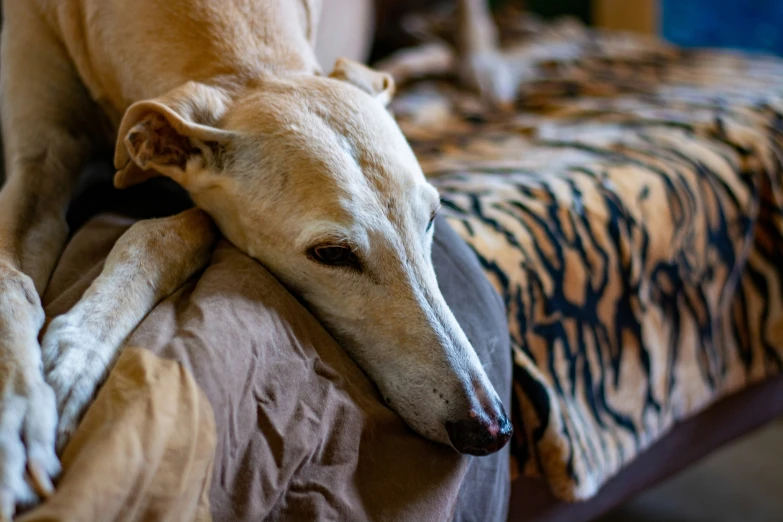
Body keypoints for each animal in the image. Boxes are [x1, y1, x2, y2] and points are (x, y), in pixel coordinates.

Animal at [0, 0, 520, 512]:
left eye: (432, 217)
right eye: (332, 253)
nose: (488, 427)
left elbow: (173, 229)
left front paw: (75, 354)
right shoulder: (40, 160)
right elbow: (13, 281)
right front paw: (22, 413)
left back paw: (478, 66)